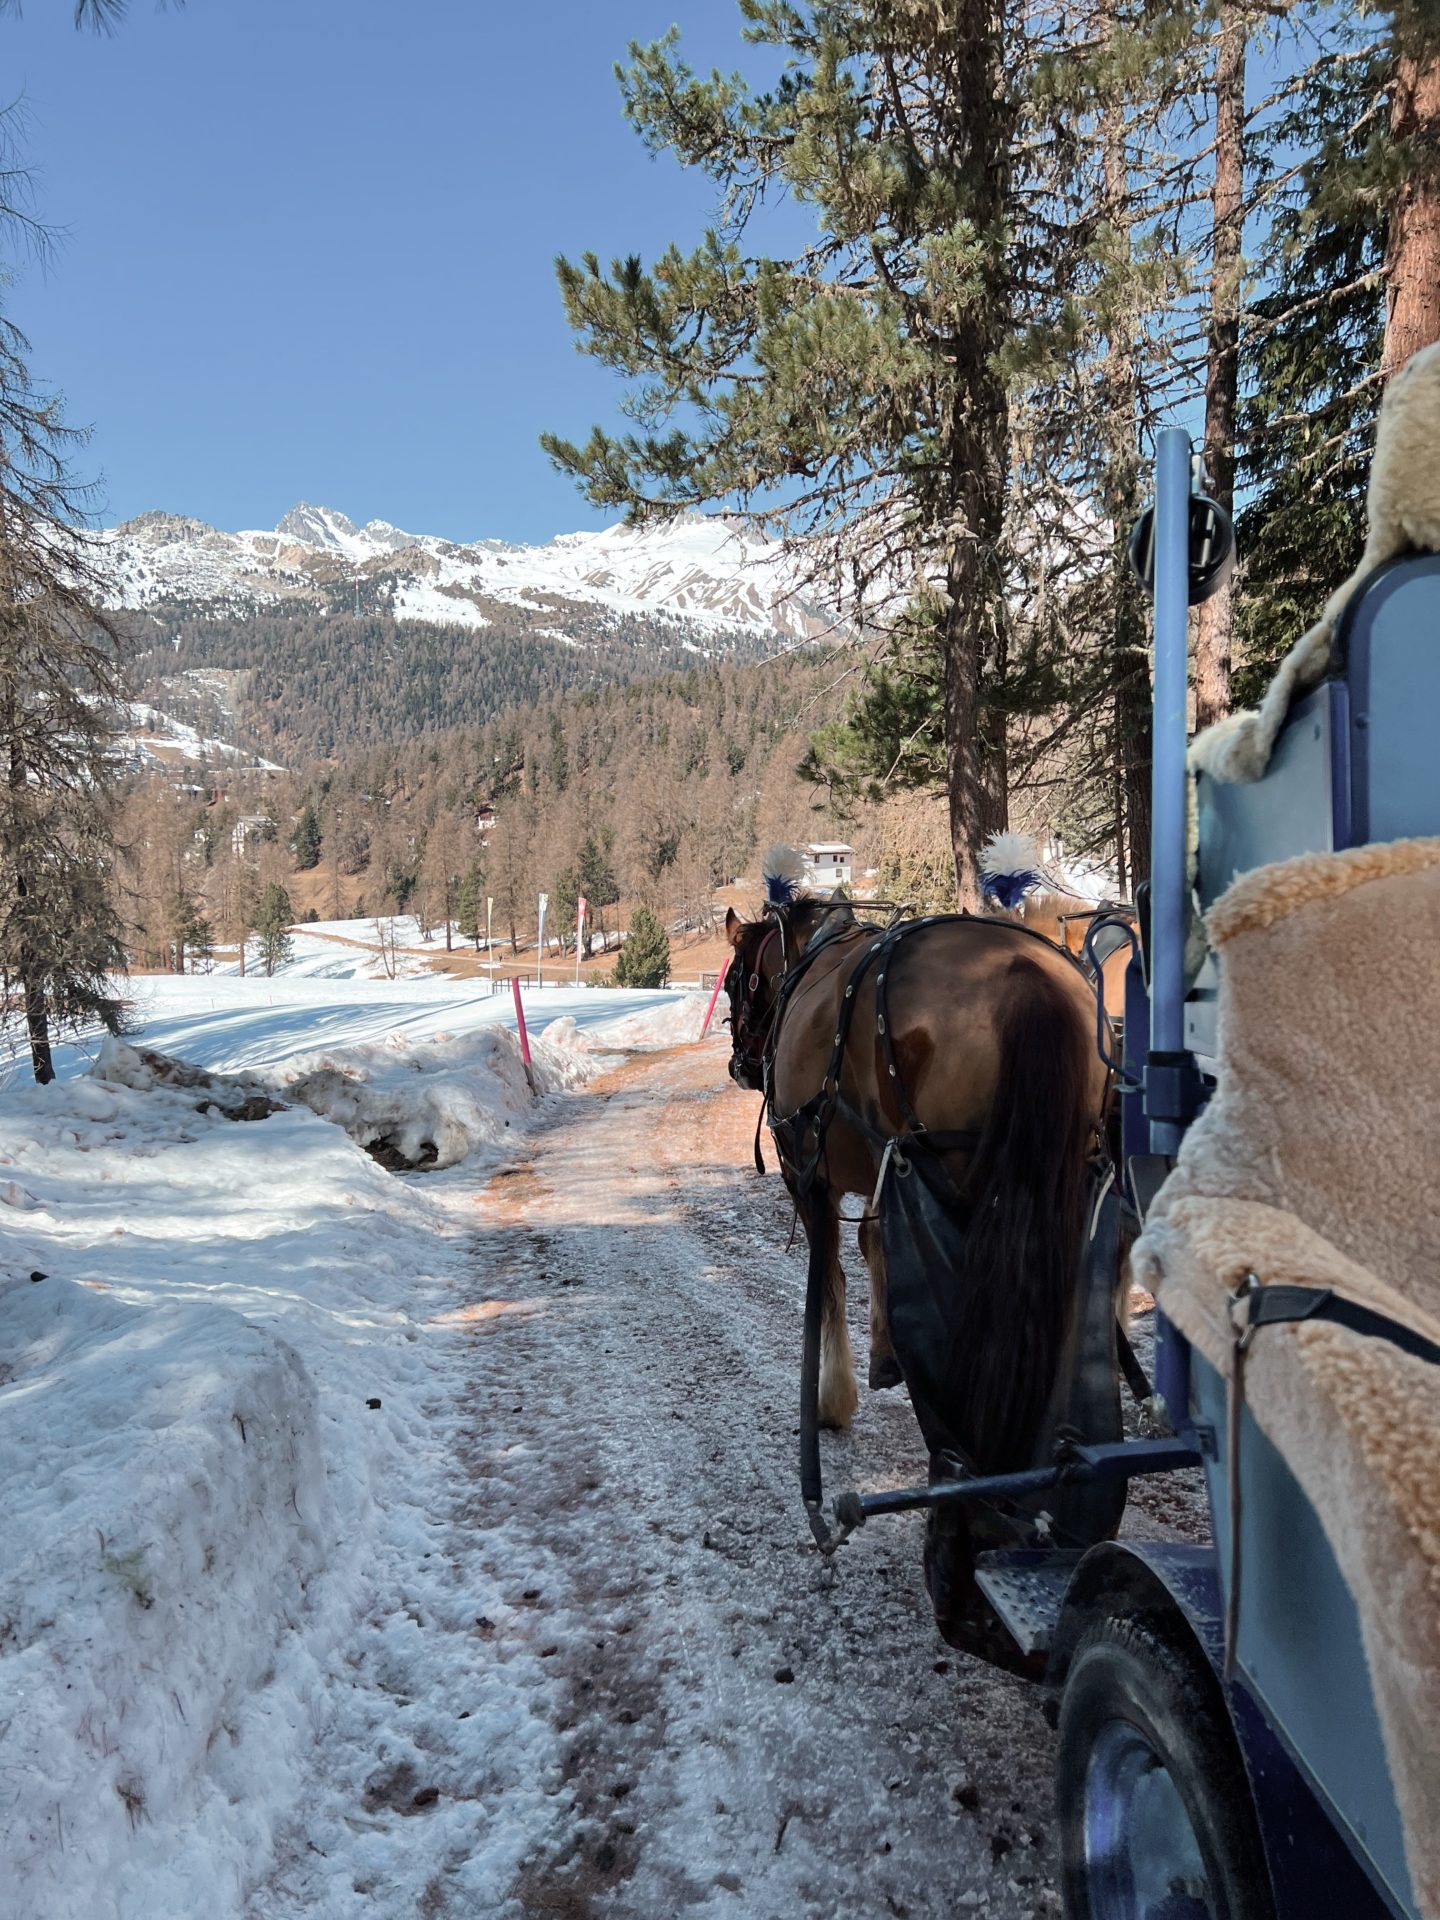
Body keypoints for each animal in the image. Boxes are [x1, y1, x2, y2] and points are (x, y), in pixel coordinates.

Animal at [733, 867, 1113, 1651]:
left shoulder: (809, 1172)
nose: (737, 1063)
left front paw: (834, 1396)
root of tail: (1024, 973)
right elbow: (876, 1244)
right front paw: (885, 1356)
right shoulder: (887, 1168)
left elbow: (831, 1276)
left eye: (732, 984)